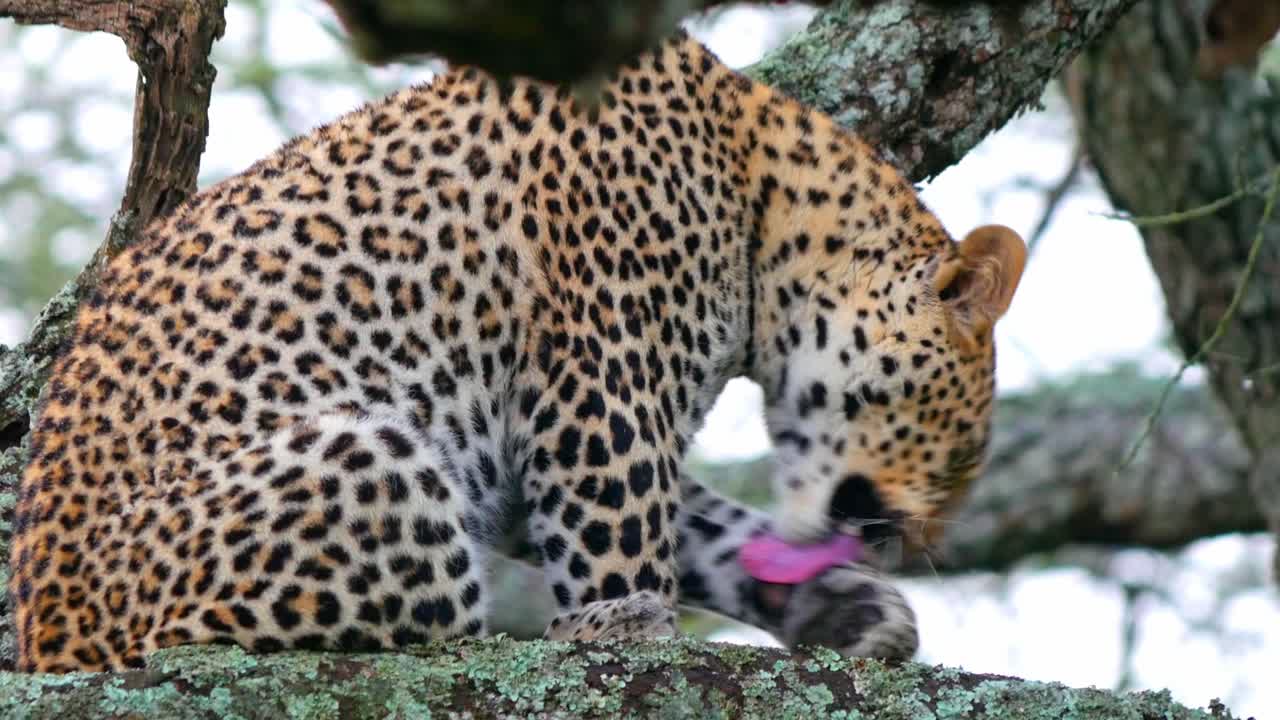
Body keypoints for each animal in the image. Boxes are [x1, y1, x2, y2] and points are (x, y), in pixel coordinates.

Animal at [9, 32, 1025, 673]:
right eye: (955, 447)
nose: (910, 547)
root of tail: (49, 640)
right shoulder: (601, 385)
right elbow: (626, 534)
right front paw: (627, 623)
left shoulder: (525, 446)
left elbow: (710, 533)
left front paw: (853, 611)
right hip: (373, 459)